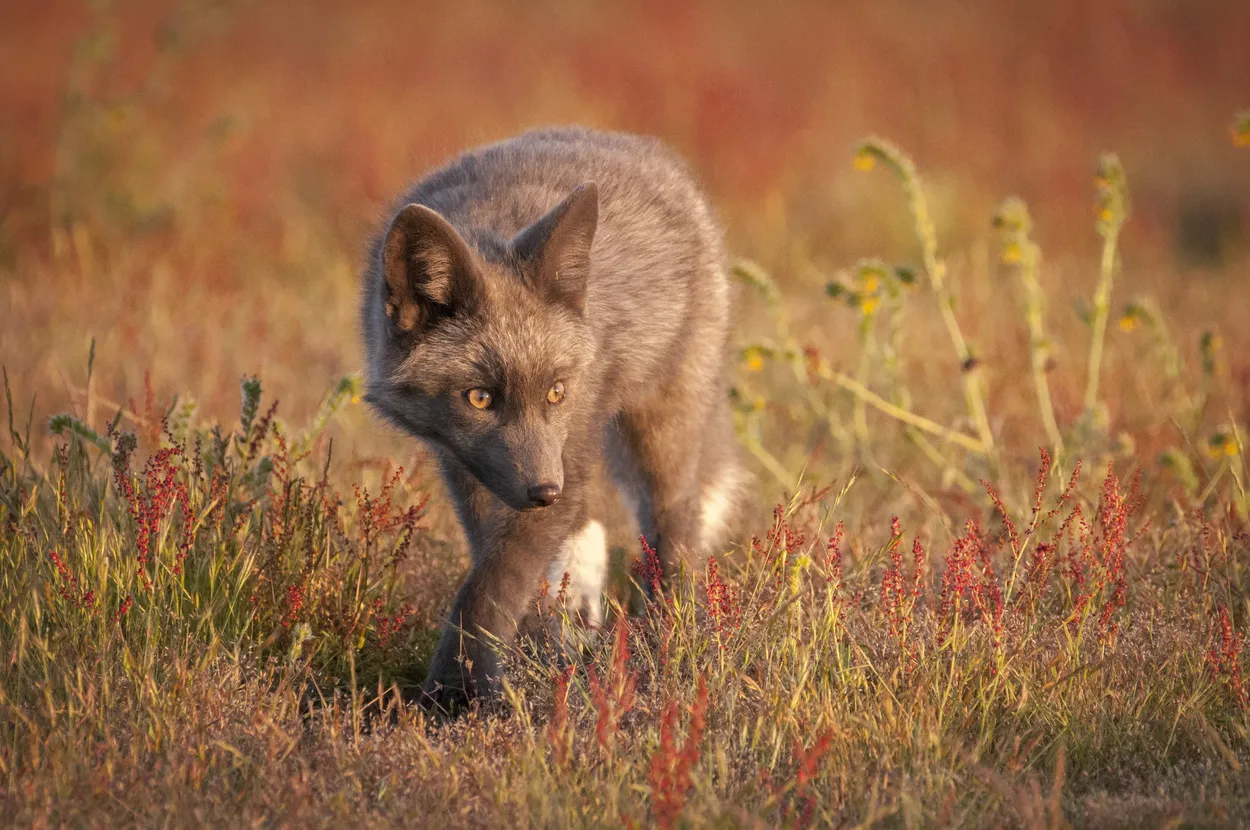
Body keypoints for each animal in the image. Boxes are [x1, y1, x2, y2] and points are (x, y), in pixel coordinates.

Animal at [361, 127, 745, 713]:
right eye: (479, 399)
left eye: (557, 392)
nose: (544, 492)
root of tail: (646, 150)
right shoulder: (469, 466)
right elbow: (499, 574)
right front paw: (517, 665)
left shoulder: (569, 447)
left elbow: (491, 586)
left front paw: (455, 698)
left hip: (655, 432)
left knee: (675, 525)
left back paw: (667, 639)